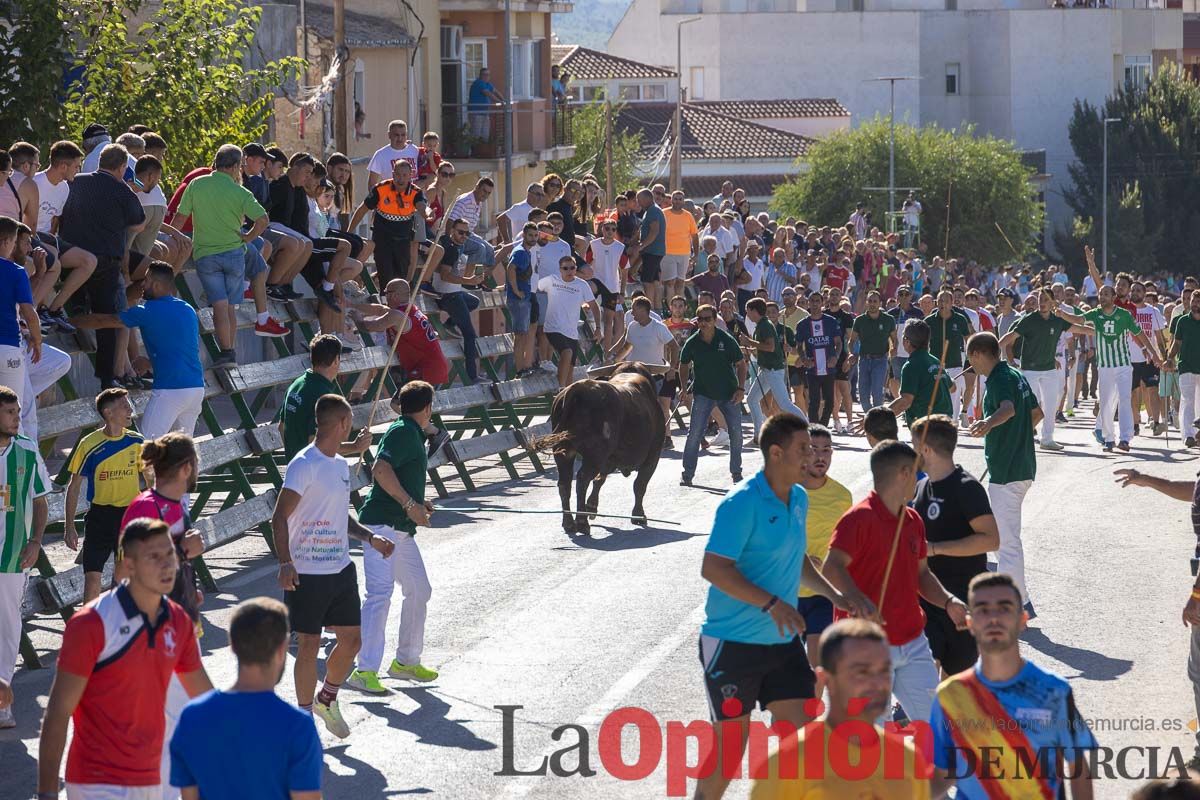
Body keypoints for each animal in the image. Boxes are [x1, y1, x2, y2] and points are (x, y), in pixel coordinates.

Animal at [535, 362, 667, 537]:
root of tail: (579, 388)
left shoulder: (609, 459)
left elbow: (600, 480)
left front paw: (592, 507)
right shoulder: (653, 456)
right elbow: (640, 485)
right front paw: (638, 515)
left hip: (564, 452)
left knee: (565, 483)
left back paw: (569, 523)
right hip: (595, 454)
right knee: (582, 480)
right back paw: (582, 523)